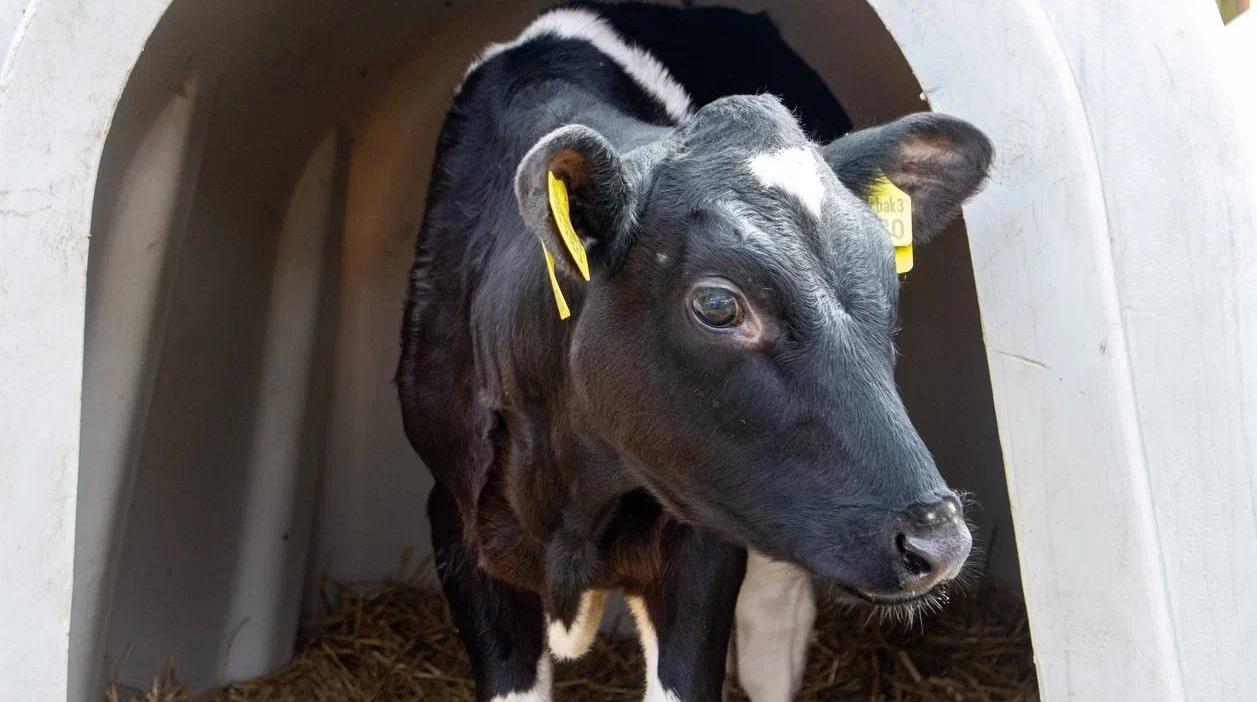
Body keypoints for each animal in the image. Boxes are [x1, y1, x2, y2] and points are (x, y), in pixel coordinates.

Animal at [396, 5, 992, 701]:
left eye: (887, 282)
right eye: (717, 305)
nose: (938, 539)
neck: (572, 497)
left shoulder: (701, 553)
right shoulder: (457, 524)